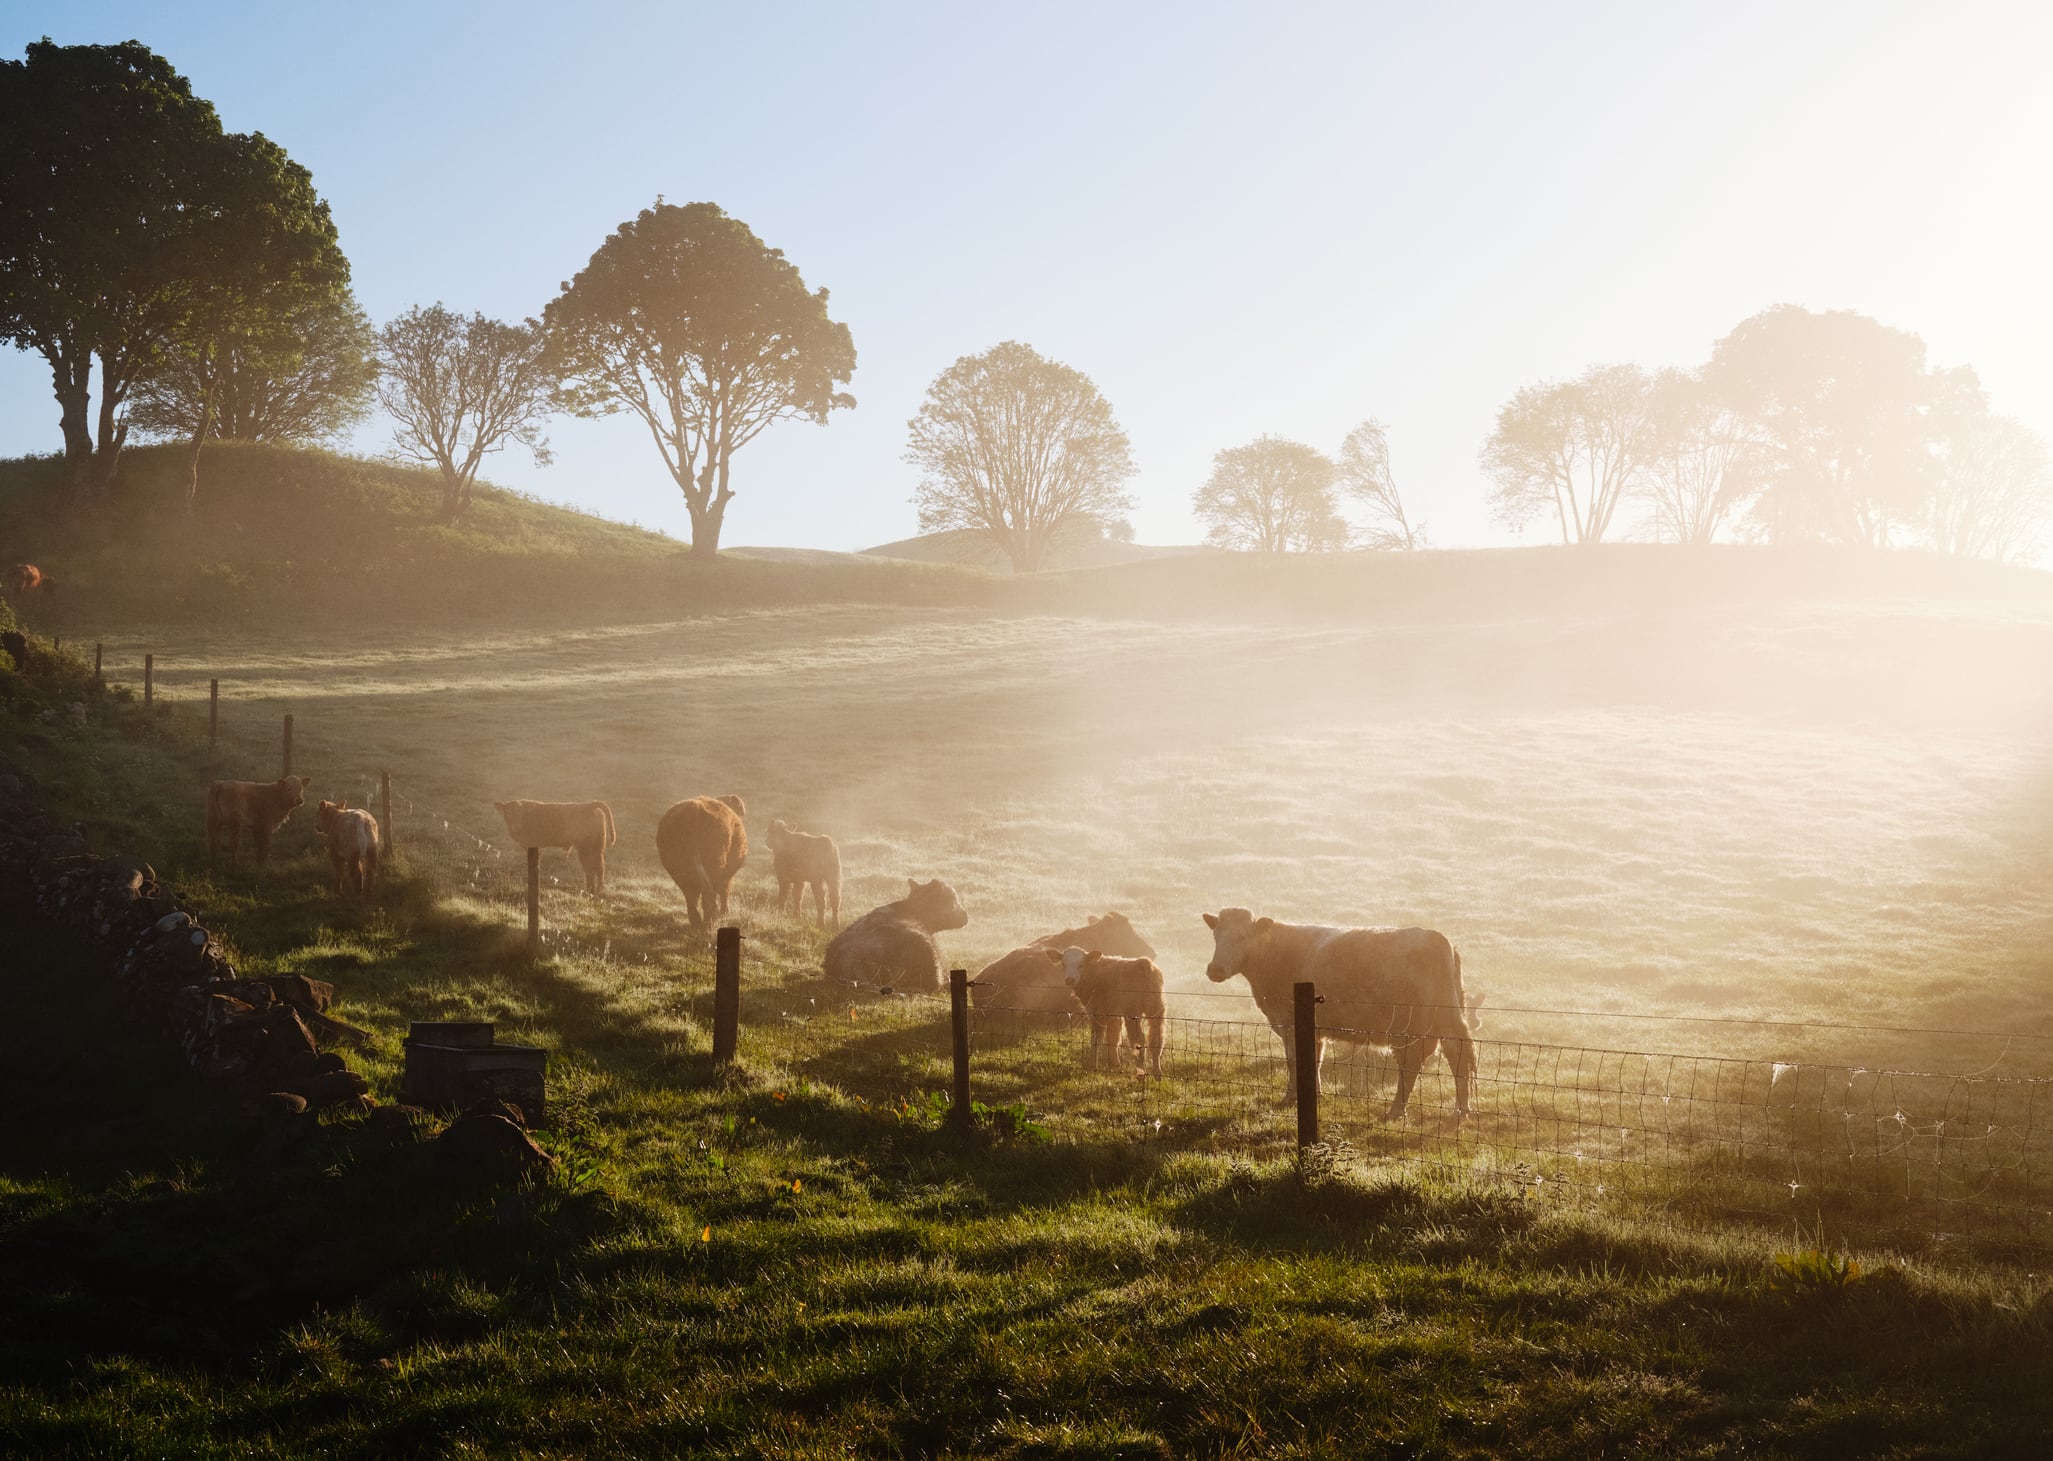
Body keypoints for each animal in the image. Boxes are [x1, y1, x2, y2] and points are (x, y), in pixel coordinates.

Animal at [656, 794, 748, 929]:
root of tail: (693, 811)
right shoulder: (728, 875)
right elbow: (725, 892)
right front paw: (725, 914)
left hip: (680, 871)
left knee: (691, 897)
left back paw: (697, 922)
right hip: (716, 867)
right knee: (709, 896)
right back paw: (709, 922)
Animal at [1044, 945, 1165, 1074]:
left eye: (1081, 964)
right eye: (1063, 963)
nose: (1069, 980)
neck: (1094, 974)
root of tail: (1144, 963)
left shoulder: (1099, 1012)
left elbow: (1098, 1039)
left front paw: (1094, 1066)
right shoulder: (1114, 1014)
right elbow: (1114, 1038)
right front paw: (1115, 1065)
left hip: (1135, 1011)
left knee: (1142, 1040)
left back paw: (1145, 1069)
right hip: (1155, 1008)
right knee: (1152, 1039)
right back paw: (1153, 1070)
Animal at [1202, 907, 1477, 1122]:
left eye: (1242, 936)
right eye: (1215, 936)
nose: (1215, 969)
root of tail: (1434, 936)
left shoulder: (1289, 1023)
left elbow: (1293, 1060)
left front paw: (1290, 1097)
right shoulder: (1314, 1029)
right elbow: (1314, 1059)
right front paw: (1314, 1094)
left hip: (1409, 1027)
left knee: (1411, 1066)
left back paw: (1397, 1111)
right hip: (1447, 1017)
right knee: (1457, 1055)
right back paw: (1461, 1110)